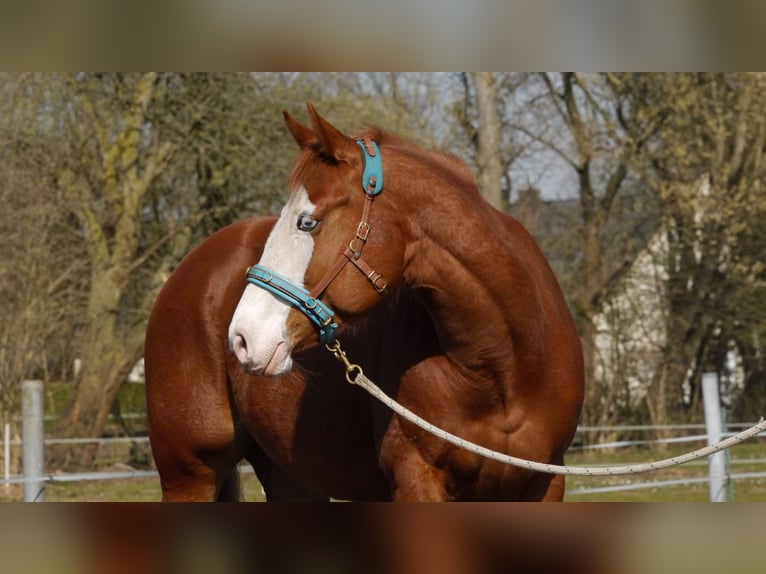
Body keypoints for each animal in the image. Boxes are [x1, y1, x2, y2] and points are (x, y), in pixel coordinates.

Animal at [146, 103, 583, 501]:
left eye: (307, 222)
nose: (241, 337)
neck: (501, 367)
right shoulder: (417, 481)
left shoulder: (546, 483)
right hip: (190, 476)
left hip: (289, 477)